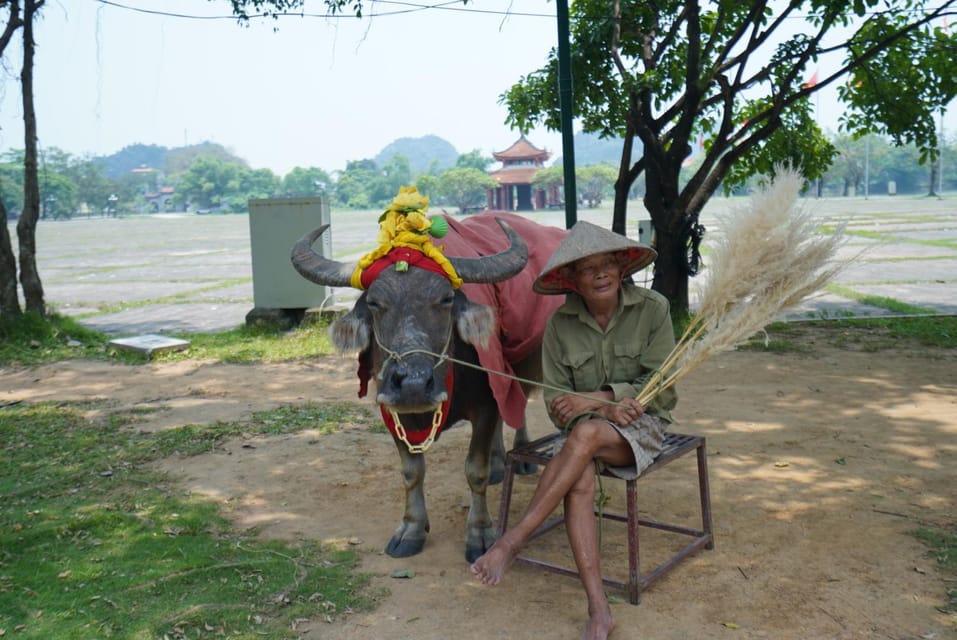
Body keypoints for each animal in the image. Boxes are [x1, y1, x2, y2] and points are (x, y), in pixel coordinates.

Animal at [288, 212, 564, 564]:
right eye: (374, 303)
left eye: (446, 299)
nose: (414, 385)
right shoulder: (390, 408)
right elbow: (411, 471)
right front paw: (411, 529)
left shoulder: (486, 402)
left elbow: (475, 469)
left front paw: (480, 534)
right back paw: (499, 464)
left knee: (519, 403)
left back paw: (520, 456)